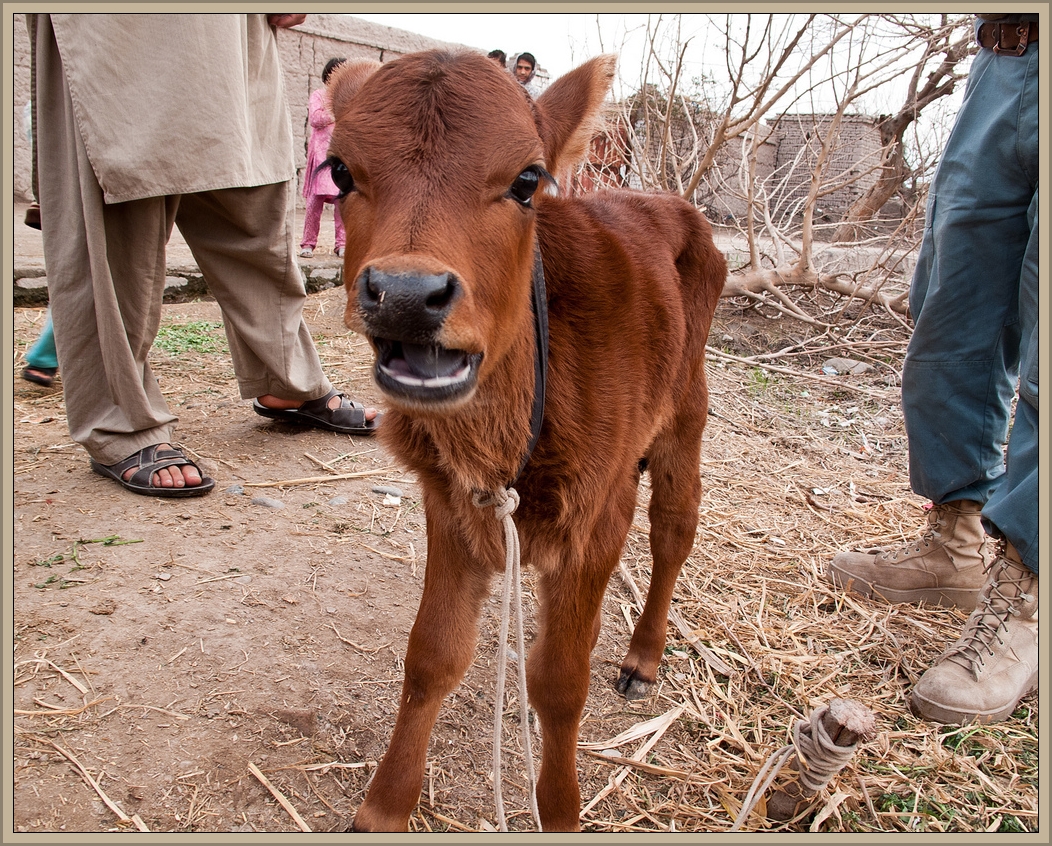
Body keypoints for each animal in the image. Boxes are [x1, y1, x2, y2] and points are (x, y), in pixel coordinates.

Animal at [326, 50, 726, 832]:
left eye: (526, 180)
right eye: (340, 172)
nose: (406, 296)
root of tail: (670, 203)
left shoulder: (598, 521)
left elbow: (560, 682)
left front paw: (562, 808)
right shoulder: (451, 503)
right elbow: (433, 653)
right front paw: (384, 805)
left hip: (685, 411)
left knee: (676, 527)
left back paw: (644, 656)